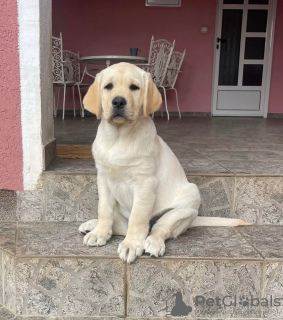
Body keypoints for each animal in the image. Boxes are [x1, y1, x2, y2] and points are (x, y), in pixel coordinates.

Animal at [79, 62, 250, 262]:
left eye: (134, 87)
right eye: (108, 86)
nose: (119, 101)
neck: (119, 137)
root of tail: (193, 220)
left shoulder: (145, 183)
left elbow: (138, 216)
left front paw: (131, 245)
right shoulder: (103, 178)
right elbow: (104, 209)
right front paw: (100, 233)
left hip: (186, 204)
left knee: (157, 228)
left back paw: (152, 243)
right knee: (122, 224)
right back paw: (93, 225)